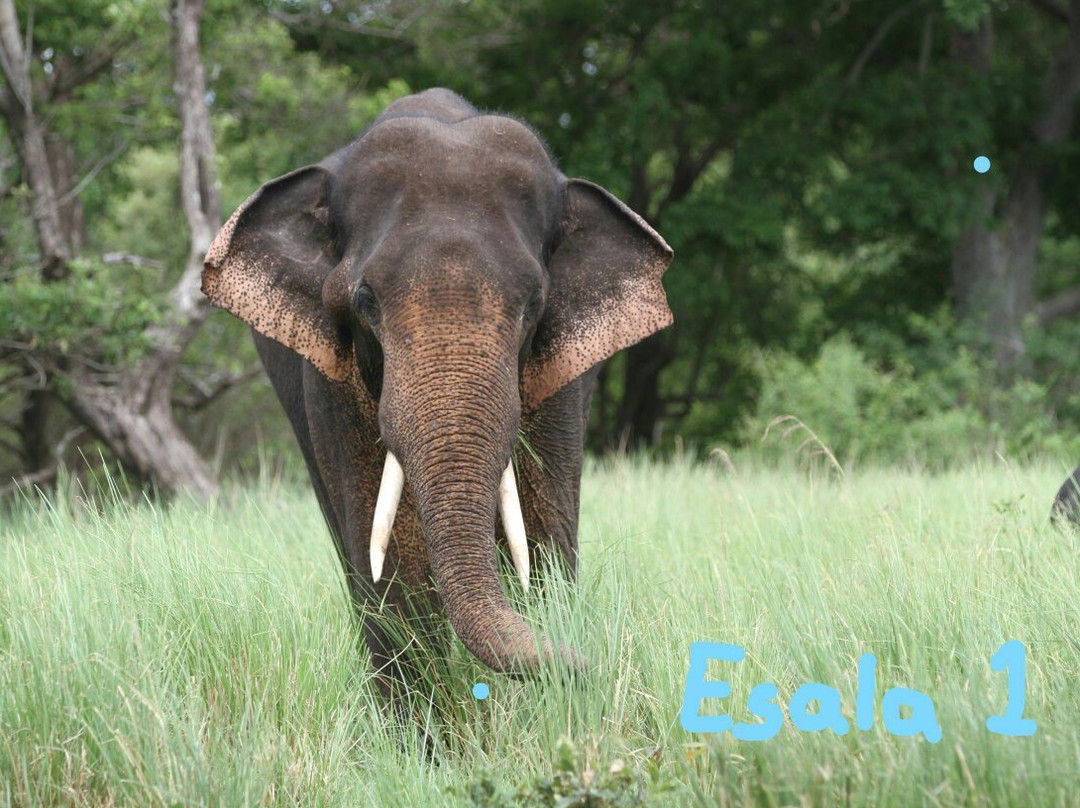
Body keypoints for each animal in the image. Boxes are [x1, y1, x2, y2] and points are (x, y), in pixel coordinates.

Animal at [201, 86, 669, 695]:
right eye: (365, 300)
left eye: (535, 303)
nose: (588, 664)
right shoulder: (332, 379)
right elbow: (390, 561)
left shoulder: (562, 379)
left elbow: (546, 529)